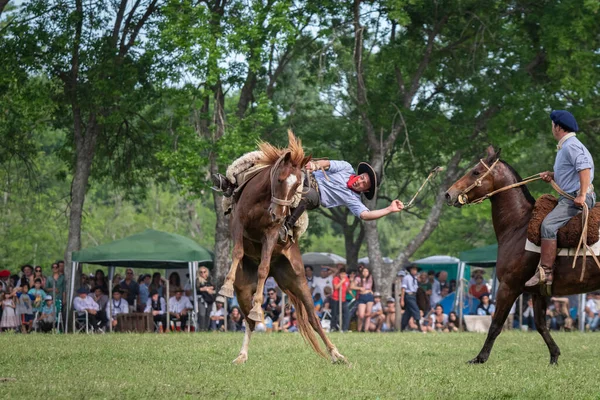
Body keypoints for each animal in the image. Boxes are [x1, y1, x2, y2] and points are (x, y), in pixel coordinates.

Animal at [217, 131, 346, 366]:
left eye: (297, 186)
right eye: (279, 179)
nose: (278, 214)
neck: (262, 199)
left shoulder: (271, 232)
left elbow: (263, 267)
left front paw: (259, 307)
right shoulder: (238, 222)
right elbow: (238, 252)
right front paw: (225, 288)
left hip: (299, 280)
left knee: (314, 318)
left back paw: (336, 354)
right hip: (245, 289)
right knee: (249, 322)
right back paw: (242, 355)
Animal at [446, 145, 600, 364]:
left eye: (476, 172)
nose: (449, 194)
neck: (519, 227)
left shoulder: (508, 287)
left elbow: (496, 325)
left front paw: (480, 358)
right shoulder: (538, 292)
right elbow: (541, 325)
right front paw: (554, 356)